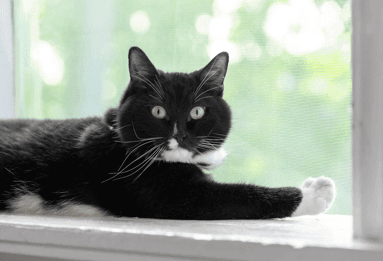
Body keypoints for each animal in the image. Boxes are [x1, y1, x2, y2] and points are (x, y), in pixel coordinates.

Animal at [0, 47, 336, 219]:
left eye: (197, 111)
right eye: (158, 111)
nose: (180, 135)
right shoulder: (159, 191)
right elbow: (238, 195)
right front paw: (313, 193)